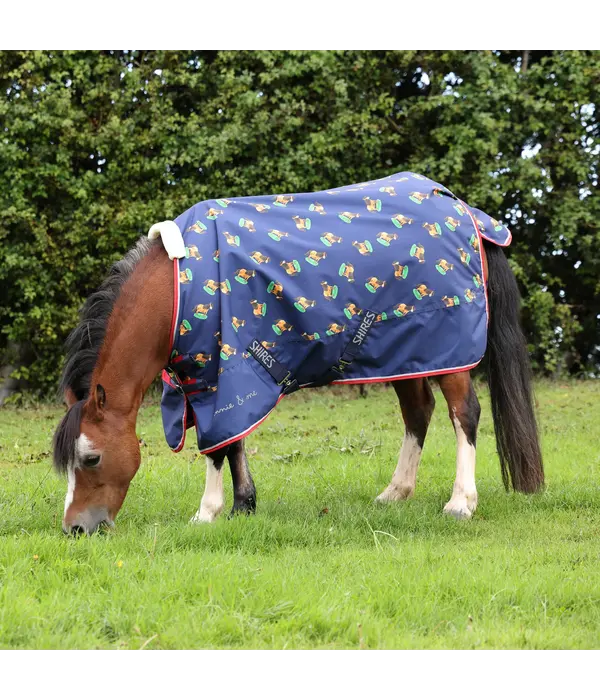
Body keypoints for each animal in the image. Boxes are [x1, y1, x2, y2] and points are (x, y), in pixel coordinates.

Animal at [52, 172, 544, 535]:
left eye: (92, 458)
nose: (75, 528)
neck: (176, 289)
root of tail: (467, 213)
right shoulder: (215, 376)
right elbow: (232, 442)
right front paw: (243, 505)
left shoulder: (220, 373)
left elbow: (216, 446)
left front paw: (207, 512)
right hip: (405, 351)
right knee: (418, 412)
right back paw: (396, 492)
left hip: (449, 350)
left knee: (465, 414)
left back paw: (461, 502)